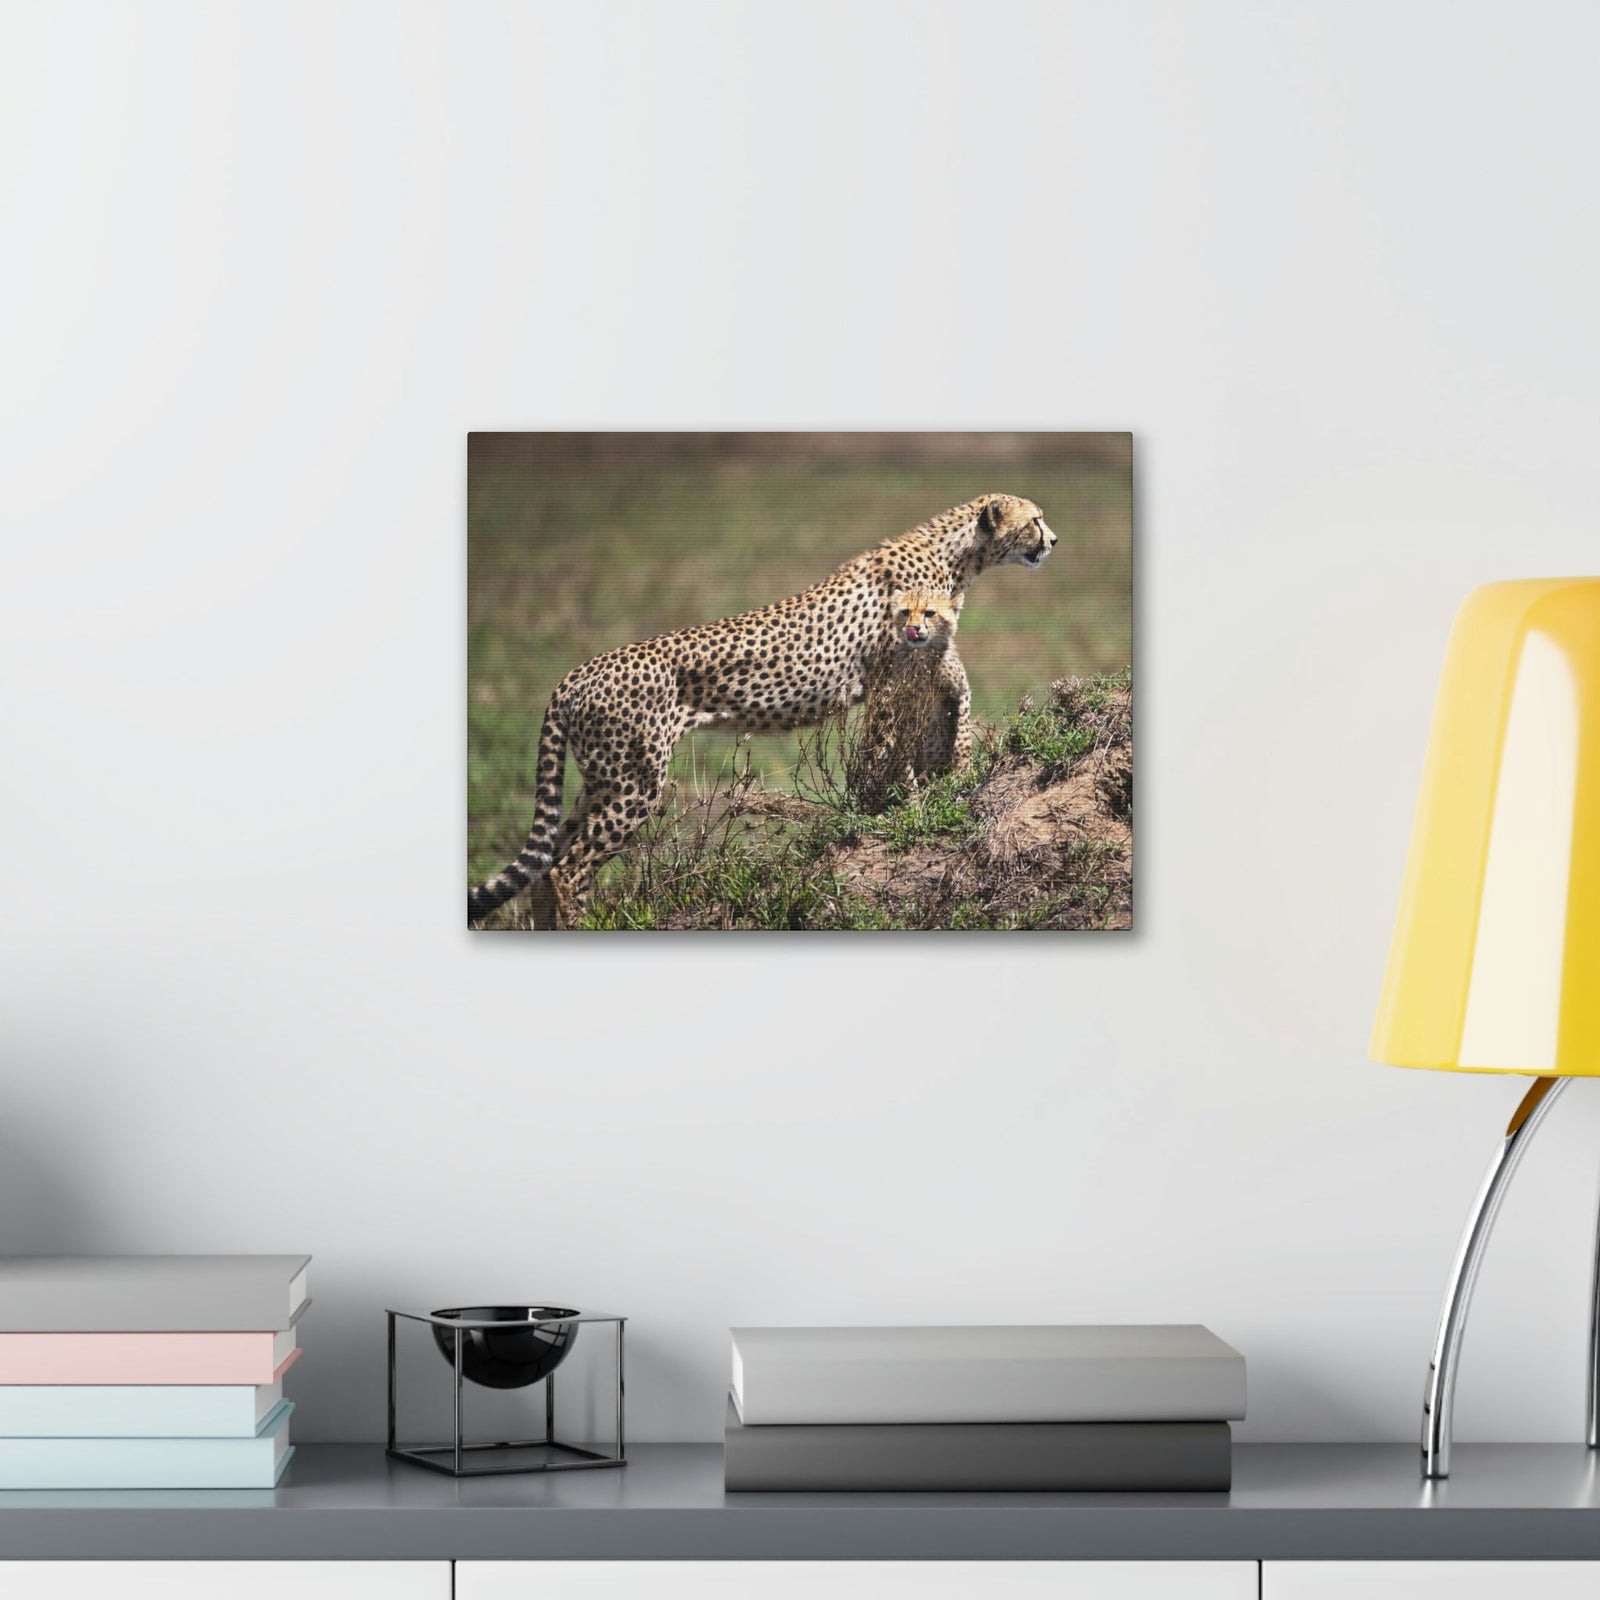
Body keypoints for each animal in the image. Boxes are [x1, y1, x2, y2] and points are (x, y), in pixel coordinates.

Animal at [846, 583, 965, 812]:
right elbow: (904, 759)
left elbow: (963, 735)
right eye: (905, 612)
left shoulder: (961, 692)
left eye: (929, 613)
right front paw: (913, 801)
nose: (913, 628)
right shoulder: (905, 712)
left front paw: (966, 765)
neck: (924, 654)